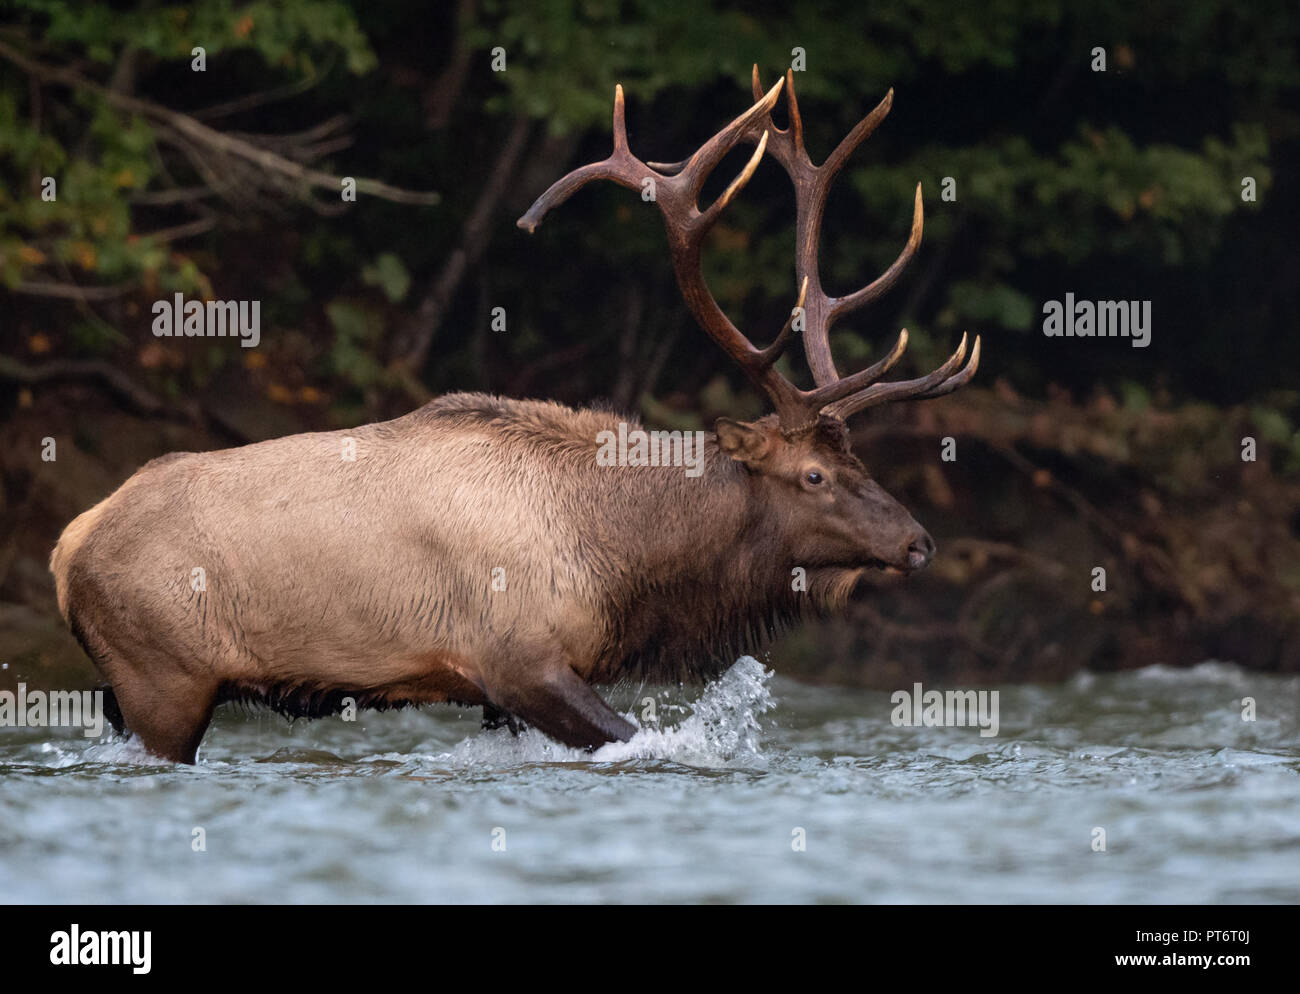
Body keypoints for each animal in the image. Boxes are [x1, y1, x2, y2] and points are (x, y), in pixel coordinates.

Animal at [49, 67, 978, 763]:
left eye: (858, 461)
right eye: (814, 474)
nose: (918, 542)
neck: (621, 553)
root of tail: (67, 546)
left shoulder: (500, 695)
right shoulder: (516, 657)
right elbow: (626, 737)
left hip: (124, 689)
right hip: (163, 677)